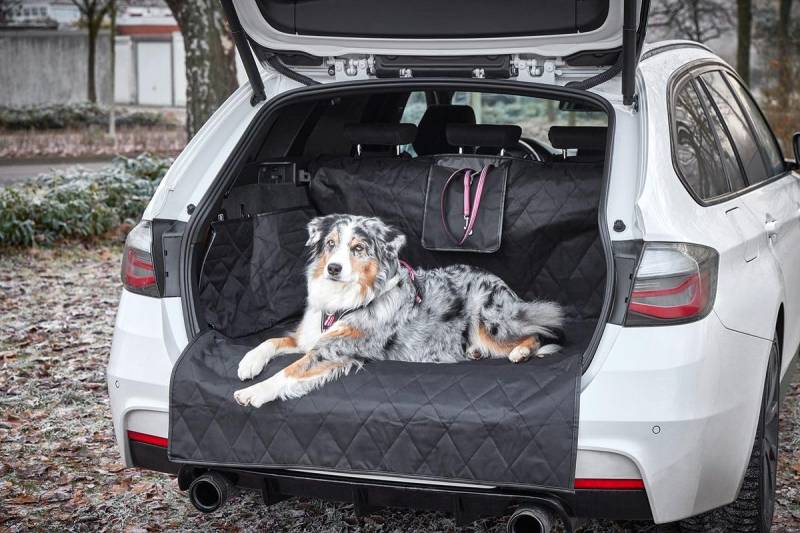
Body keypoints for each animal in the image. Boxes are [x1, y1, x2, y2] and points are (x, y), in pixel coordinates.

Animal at [233, 214, 564, 406]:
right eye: (330, 244)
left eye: (358, 248)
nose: (333, 268)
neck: (344, 301)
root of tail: (501, 283)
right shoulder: (311, 336)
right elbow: (272, 341)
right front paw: (248, 363)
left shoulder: (335, 351)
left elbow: (289, 372)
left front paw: (254, 392)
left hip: (489, 321)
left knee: (534, 334)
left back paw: (520, 352)